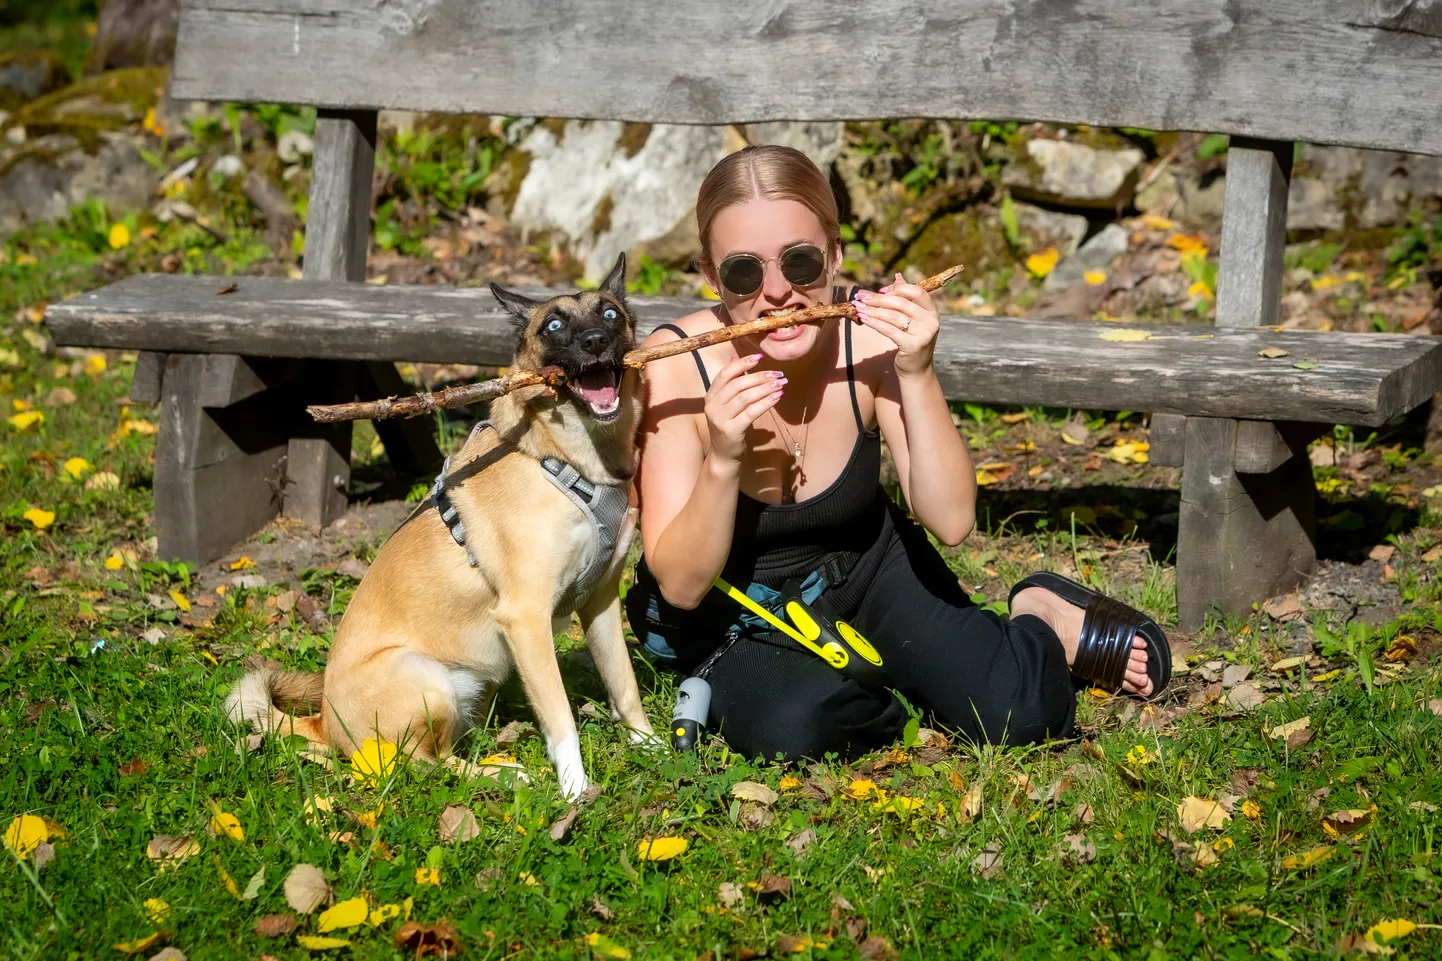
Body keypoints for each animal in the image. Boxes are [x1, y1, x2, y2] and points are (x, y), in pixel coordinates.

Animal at [224, 252, 654, 790]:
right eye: (553, 325)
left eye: (611, 313)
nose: (595, 340)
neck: (568, 460)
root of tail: (322, 722)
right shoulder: (526, 617)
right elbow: (560, 719)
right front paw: (574, 789)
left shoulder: (600, 602)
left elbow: (625, 687)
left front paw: (654, 747)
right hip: (424, 678)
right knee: (421, 764)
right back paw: (503, 776)